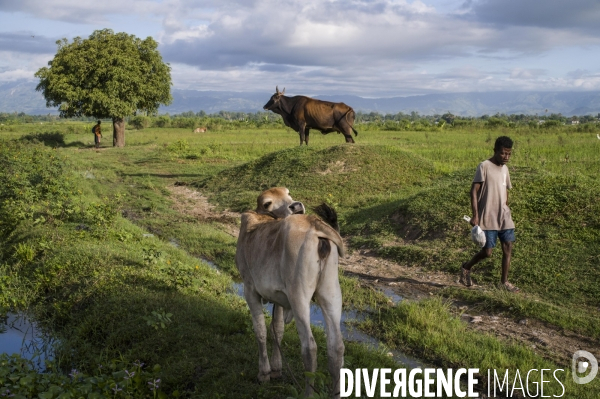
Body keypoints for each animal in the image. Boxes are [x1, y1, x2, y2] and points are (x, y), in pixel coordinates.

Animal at [236, 188, 344, 399]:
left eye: (288, 194)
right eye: (268, 203)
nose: (296, 206)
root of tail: (314, 223)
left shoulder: (249, 289)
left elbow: (260, 330)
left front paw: (264, 373)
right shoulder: (279, 298)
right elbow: (277, 330)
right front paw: (277, 369)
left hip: (299, 296)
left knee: (310, 348)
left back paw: (308, 393)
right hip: (331, 293)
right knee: (336, 347)